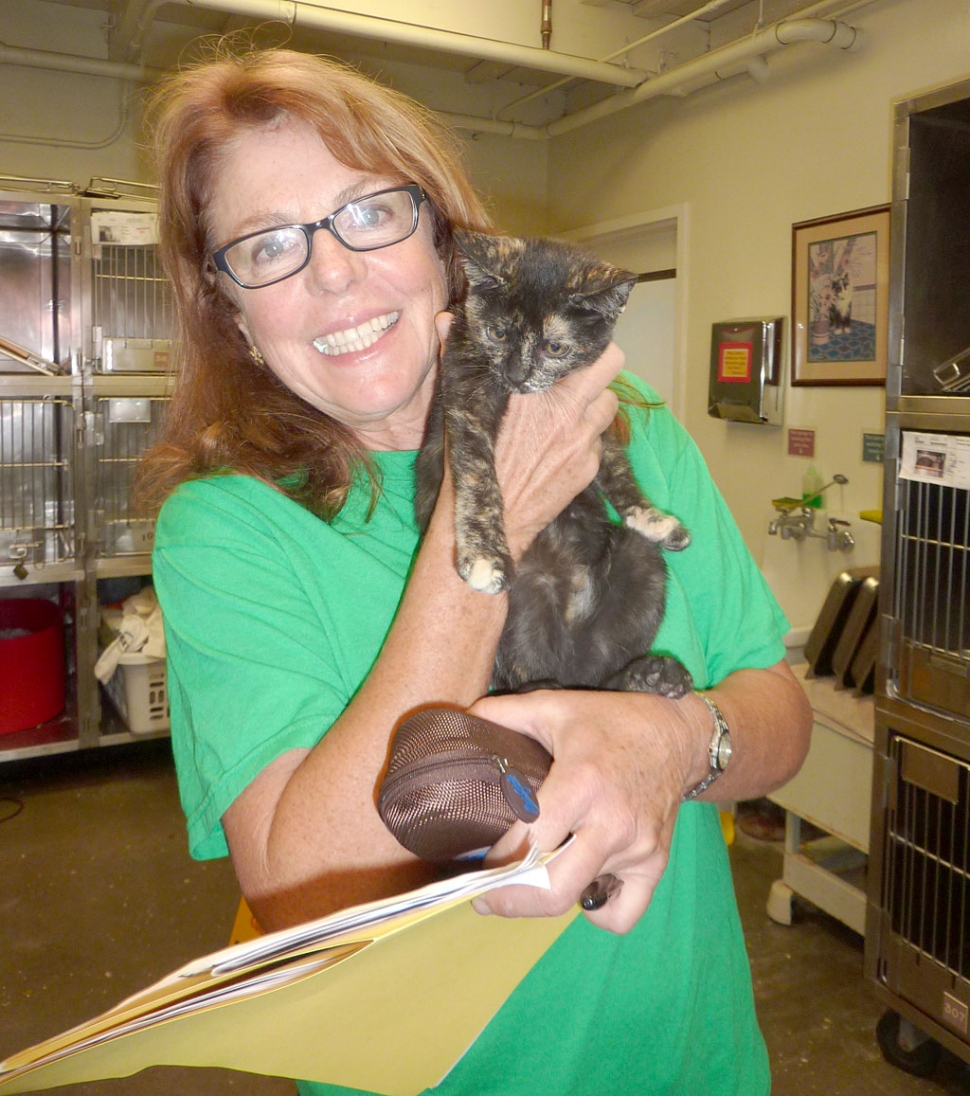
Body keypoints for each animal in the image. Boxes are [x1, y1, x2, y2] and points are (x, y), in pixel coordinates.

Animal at [412, 231, 692, 697]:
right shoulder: (464, 397)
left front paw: (653, 518)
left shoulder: (596, 416)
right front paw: (484, 553)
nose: (516, 374)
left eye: (555, 346)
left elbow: (618, 468)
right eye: (498, 332)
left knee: (600, 675)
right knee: (537, 673)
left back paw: (651, 674)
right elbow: (477, 472)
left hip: (640, 565)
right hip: (524, 604)